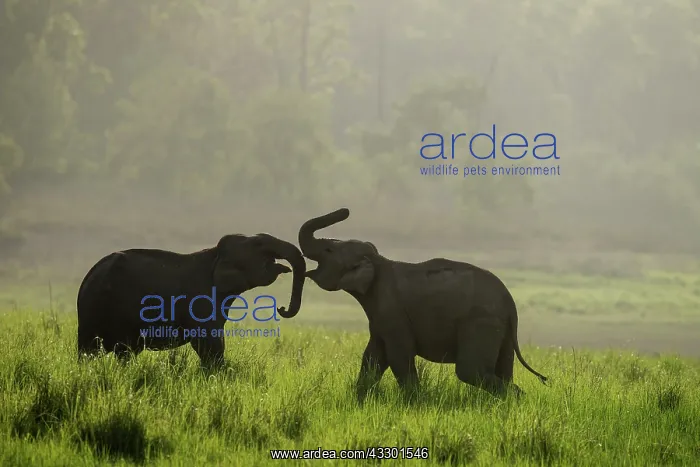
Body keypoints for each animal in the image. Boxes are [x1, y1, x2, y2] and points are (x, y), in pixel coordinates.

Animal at [77, 233, 306, 367]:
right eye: (259, 243)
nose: (283, 309)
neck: (215, 254)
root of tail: (89, 275)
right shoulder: (201, 301)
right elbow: (211, 345)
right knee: (105, 351)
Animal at [298, 208, 548, 401]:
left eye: (329, 250)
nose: (346, 210)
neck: (378, 261)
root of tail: (510, 304)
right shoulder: (379, 317)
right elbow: (373, 357)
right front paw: (360, 399)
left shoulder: (393, 311)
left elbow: (398, 356)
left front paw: (415, 402)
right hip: (501, 331)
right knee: (503, 369)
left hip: (481, 322)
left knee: (469, 370)